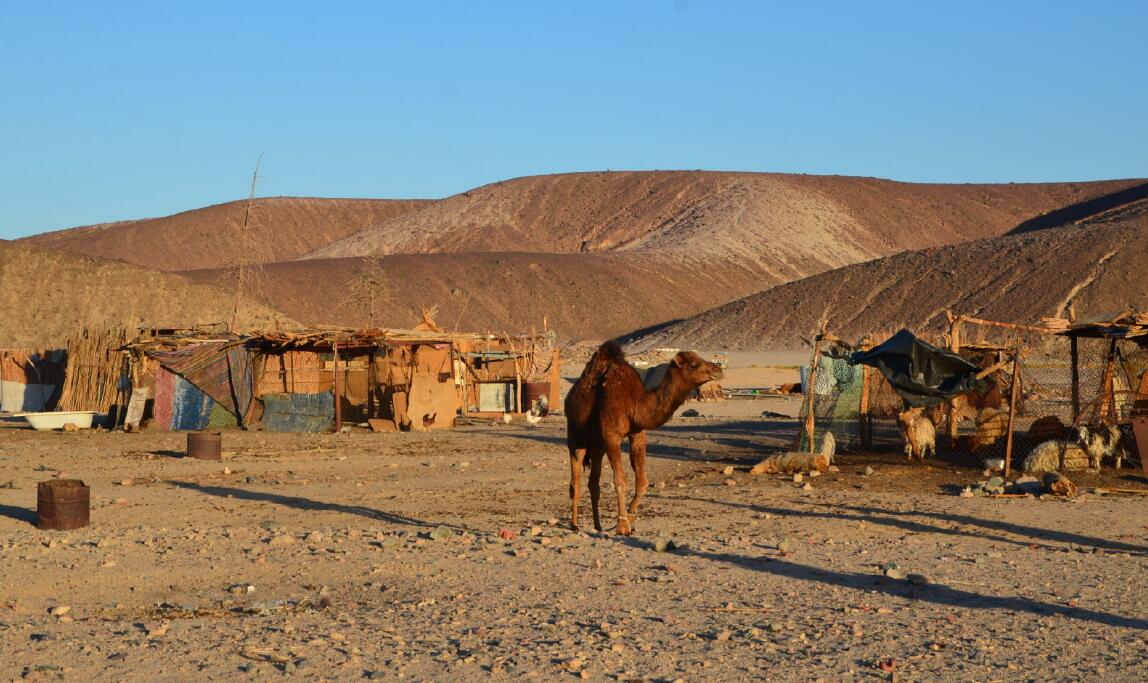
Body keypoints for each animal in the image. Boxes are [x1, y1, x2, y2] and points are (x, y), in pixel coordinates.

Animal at [562, 339, 720, 534]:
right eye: (693, 363)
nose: (718, 369)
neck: (634, 404)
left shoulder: (637, 434)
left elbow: (642, 482)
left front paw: (630, 516)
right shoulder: (611, 435)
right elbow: (620, 481)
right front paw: (622, 525)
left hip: (597, 445)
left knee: (594, 483)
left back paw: (598, 527)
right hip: (576, 436)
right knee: (575, 481)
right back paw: (574, 525)